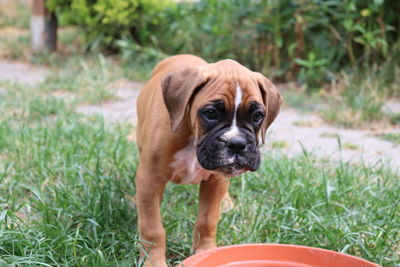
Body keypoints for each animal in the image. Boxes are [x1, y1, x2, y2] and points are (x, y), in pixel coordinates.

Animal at [134, 55, 282, 267]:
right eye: (210, 113)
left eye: (257, 116)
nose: (237, 144)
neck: (193, 136)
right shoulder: (150, 178)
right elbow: (152, 228)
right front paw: (153, 262)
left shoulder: (215, 181)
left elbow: (207, 220)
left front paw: (206, 251)